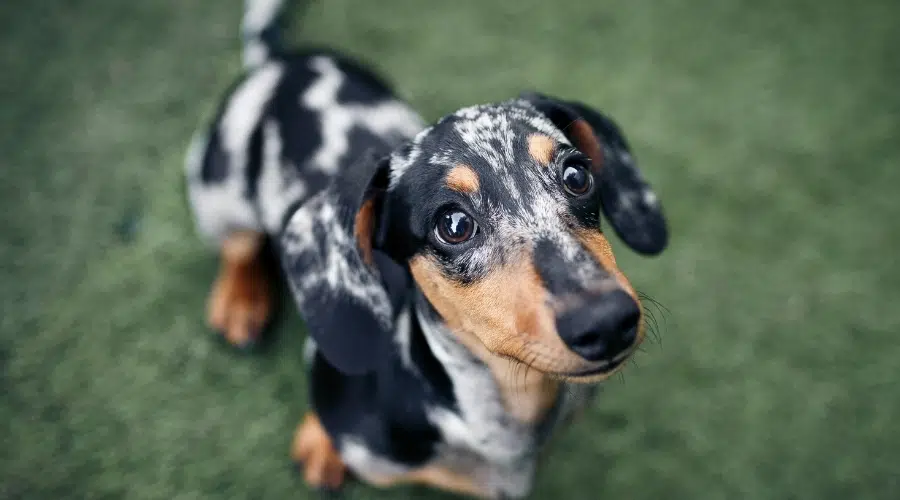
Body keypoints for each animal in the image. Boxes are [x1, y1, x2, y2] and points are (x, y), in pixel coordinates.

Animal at [183, 0, 668, 496]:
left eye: (577, 176)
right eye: (453, 225)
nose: (606, 322)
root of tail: (282, 61)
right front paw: (321, 442)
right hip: (218, 192)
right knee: (239, 246)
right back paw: (240, 303)